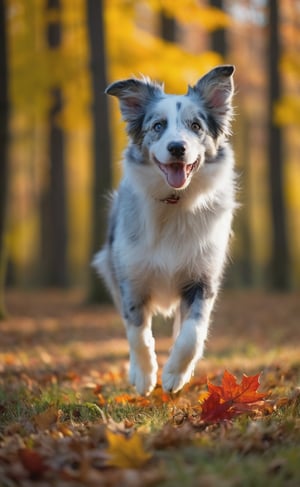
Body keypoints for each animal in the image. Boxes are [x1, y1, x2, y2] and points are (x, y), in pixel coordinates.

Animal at [94, 66, 237, 396]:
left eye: (196, 126)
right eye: (158, 126)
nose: (177, 147)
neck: (175, 202)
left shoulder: (202, 279)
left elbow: (192, 332)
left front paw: (174, 375)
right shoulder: (131, 278)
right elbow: (137, 333)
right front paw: (144, 377)